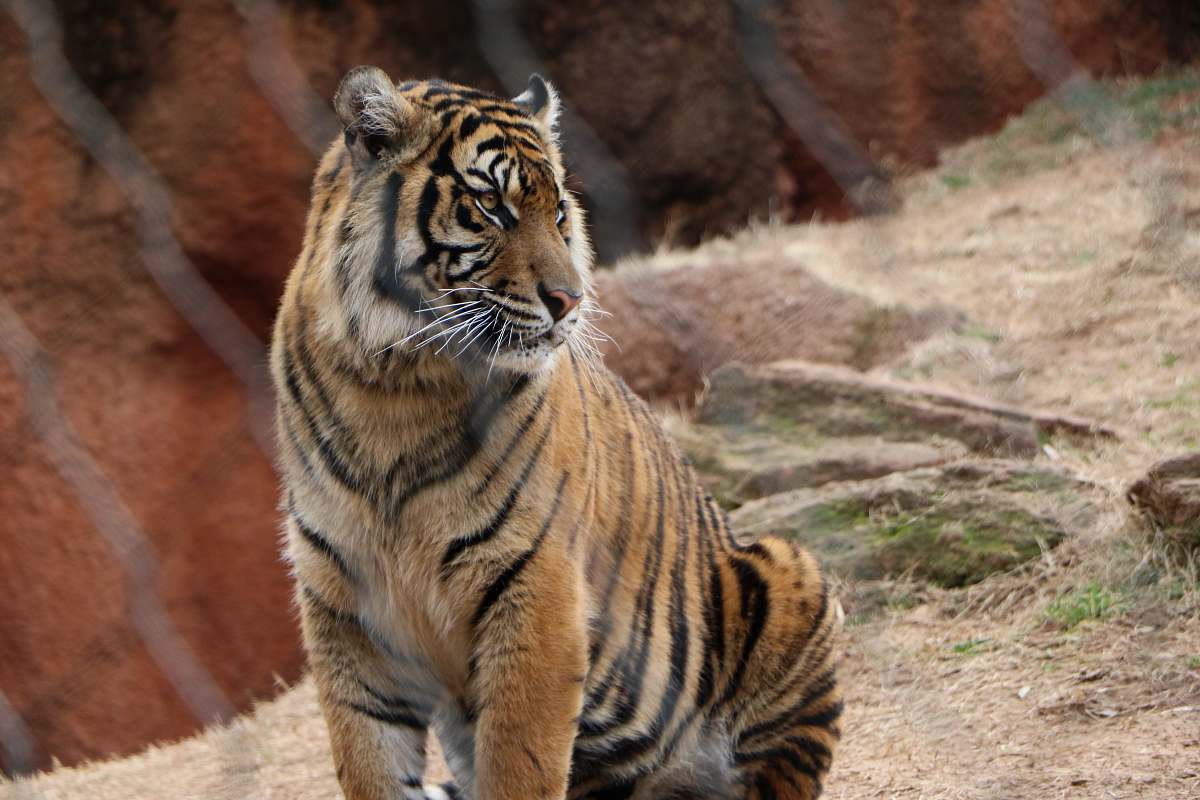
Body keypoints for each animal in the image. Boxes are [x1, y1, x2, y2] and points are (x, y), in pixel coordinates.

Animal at [272, 67, 844, 800]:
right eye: (490, 206)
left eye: (561, 214)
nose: (570, 300)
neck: (394, 386)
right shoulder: (345, 611)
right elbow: (370, 764)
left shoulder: (534, 584)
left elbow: (518, 765)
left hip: (789, 572)